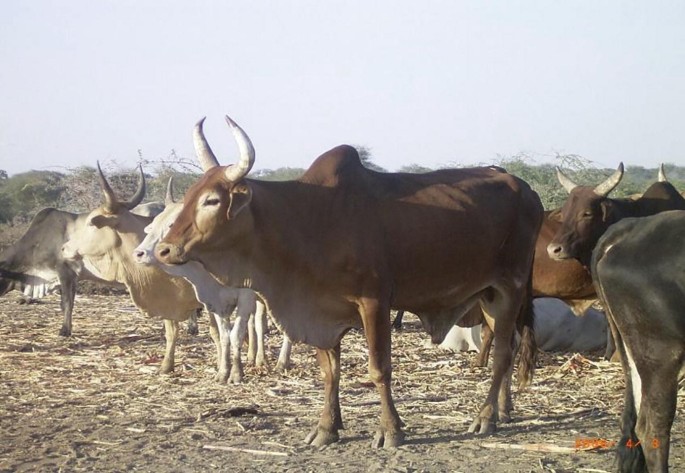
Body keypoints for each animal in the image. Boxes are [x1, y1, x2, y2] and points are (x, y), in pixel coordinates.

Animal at [132, 178, 293, 383]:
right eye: (153, 224)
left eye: (171, 224)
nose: (138, 253)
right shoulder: (216, 301)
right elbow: (224, 335)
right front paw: (223, 371)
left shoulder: (245, 298)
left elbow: (236, 334)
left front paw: (236, 373)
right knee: (257, 322)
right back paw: (257, 358)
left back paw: (281, 362)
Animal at [155, 115, 544, 448]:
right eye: (188, 197)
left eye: (211, 200)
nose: (164, 249)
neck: (307, 218)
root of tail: (528, 190)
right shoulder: (321, 309)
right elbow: (330, 372)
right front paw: (327, 428)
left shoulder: (374, 302)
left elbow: (379, 368)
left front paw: (390, 431)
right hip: (488, 294)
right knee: (507, 347)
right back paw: (505, 410)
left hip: (509, 287)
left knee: (503, 353)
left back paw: (486, 417)